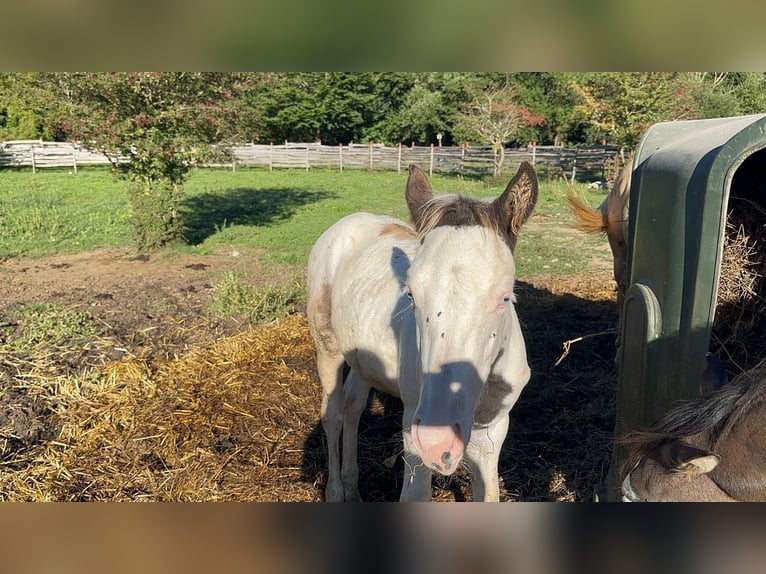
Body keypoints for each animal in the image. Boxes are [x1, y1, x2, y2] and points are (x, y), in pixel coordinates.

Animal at [307, 162, 538, 501]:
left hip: (363, 357)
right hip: (328, 345)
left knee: (353, 406)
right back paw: (336, 491)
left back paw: (353, 487)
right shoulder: (412, 425)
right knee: (333, 413)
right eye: (411, 295)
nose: (438, 441)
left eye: (505, 297)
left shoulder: (492, 433)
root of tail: (347, 221)